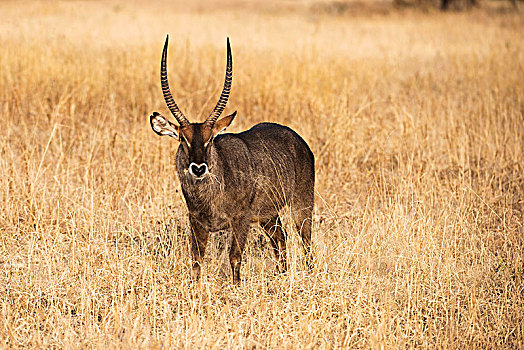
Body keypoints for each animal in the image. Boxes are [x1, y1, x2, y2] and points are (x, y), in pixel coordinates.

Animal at [148, 35, 316, 284]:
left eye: (210, 139)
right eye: (183, 139)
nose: (198, 168)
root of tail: (298, 139)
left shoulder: (241, 219)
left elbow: (235, 257)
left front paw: (236, 288)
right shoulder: (196, 221)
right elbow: (196, 260)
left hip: (302, 204)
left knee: (306, 240)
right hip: (268, 215)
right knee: (280, 237)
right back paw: (281, 274)